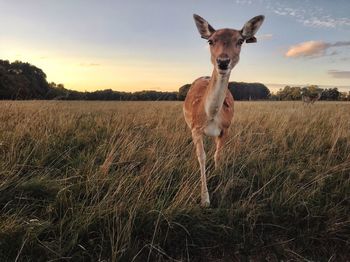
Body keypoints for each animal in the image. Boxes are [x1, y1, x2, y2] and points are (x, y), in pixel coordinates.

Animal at [185, 13, 264, 207]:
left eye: (240, 41)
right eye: (210, 41)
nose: (222, 61)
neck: (211, 115)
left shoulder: (226, 129)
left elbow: (218, 155)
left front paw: (218, 176)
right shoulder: (195, 129)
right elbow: (202, 157)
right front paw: (205, 199)